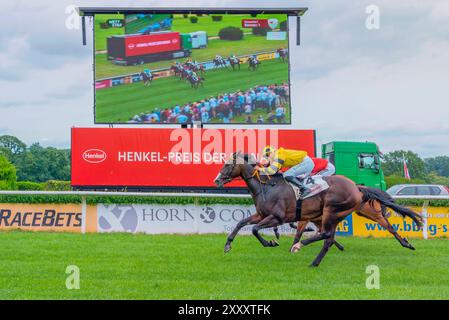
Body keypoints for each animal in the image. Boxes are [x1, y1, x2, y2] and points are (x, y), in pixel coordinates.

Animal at [212, 152, 422, 268]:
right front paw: (228, 245)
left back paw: (300, 246)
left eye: (228, 164)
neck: (267, 186)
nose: (216, 180)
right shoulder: (262, 214)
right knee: (327, 238)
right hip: (334, 215)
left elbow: (255, 230)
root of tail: (356, 187)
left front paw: (271, 242)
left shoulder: (277, 217)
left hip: (333, 210)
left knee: (329, 234)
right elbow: (241, 223)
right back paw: (314, 261)